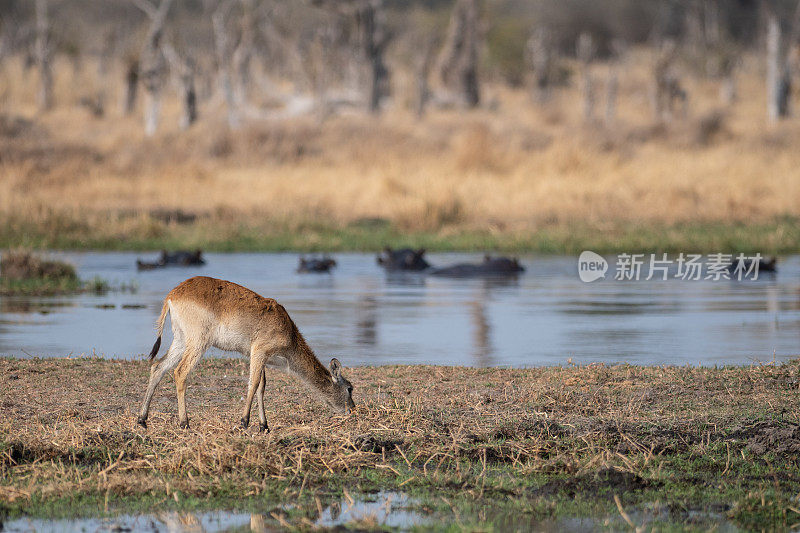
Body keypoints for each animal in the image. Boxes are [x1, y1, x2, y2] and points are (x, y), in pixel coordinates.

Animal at [138, 276, 356, 430]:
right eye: (350, 388)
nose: (352, 410)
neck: (289, 333)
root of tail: (172, 295)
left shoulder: (260, 357)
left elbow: (261, 386)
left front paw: (264, 426)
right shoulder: (258, 351)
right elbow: (253, 383)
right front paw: (244, 422)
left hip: (181, 340)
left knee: (158, 366)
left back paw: (142, 419)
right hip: (198, 342)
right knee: (180, 372)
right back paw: (184, 423)